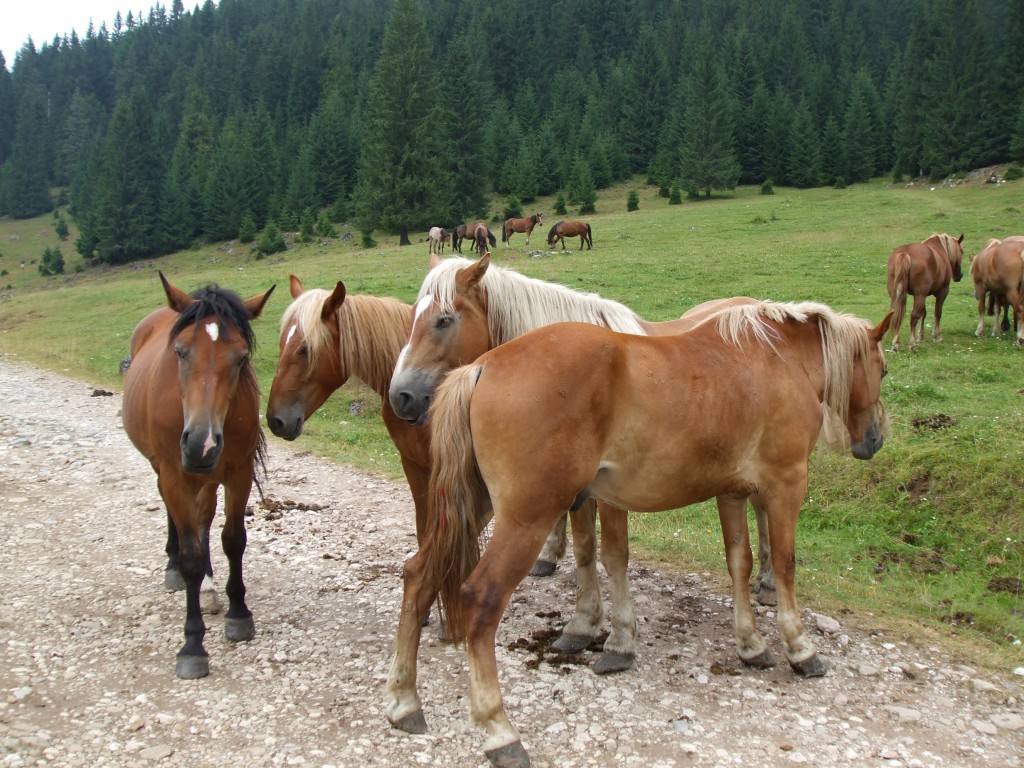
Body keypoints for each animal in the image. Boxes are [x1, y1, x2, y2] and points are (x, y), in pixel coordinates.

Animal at [120, 274, 276, 679]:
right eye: (180, 351)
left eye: (241, 357)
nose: (200, 443)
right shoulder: (176, 475)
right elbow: (191, 554)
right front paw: (192, 645)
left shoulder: (238, 473)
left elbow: (233, 540)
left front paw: (239, 614)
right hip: (166, 469)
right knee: (175, 516)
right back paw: (174, 568)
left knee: (204, 518)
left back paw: (208, 590)